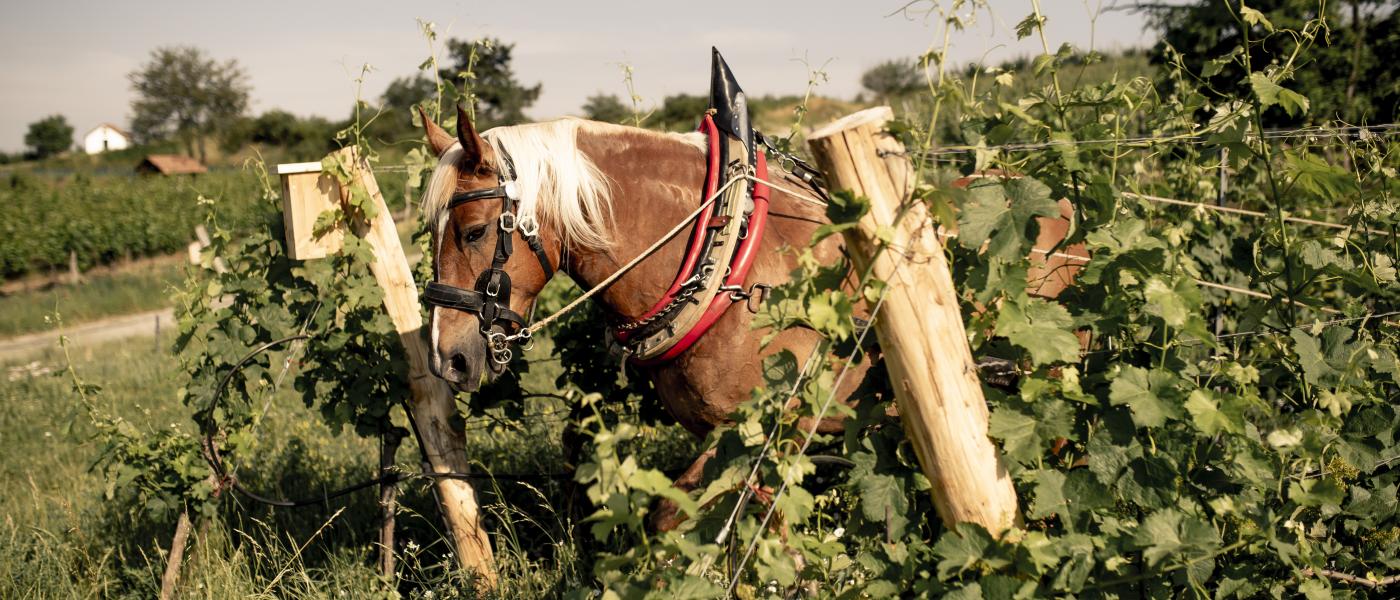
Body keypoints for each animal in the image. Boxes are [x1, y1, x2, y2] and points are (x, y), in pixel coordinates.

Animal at [414, 104, 1080, 525]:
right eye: (432, 231)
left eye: (474, 231)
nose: (448, 356)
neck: (730, 262)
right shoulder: (723, 437)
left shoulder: (767, 431)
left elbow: (683, 517)